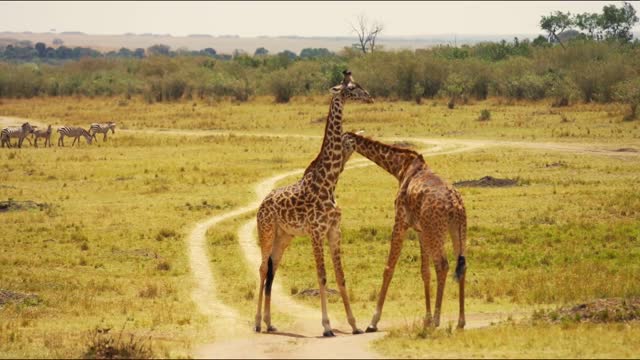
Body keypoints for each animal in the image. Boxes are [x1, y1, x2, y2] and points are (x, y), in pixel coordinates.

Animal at [255, 71, 376, 338]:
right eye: (351, 88)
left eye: (359, 84)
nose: (371, 97)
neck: (328, 182)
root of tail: (262, 204)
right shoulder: (316, 232)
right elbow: (322, 276)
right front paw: (327, 326)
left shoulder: (334, 230)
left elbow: (340, 276)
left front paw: (354, 325)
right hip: (266, 231)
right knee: (262, 268)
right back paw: (257, 322)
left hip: (284, 236)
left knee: (272, 268)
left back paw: (270, 322)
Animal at [342, 131, 468, 332]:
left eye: (342, 142)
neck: (400, 167)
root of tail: (454, 204)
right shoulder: (420, 230)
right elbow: (425, 272)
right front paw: (426, 318)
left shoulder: (400, 222)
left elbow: (388, 268)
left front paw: (373, 322)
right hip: (457, 229)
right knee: (461, 264)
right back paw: (460, 322)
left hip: (436, 230)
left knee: (443, 265)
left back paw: (437, 321)